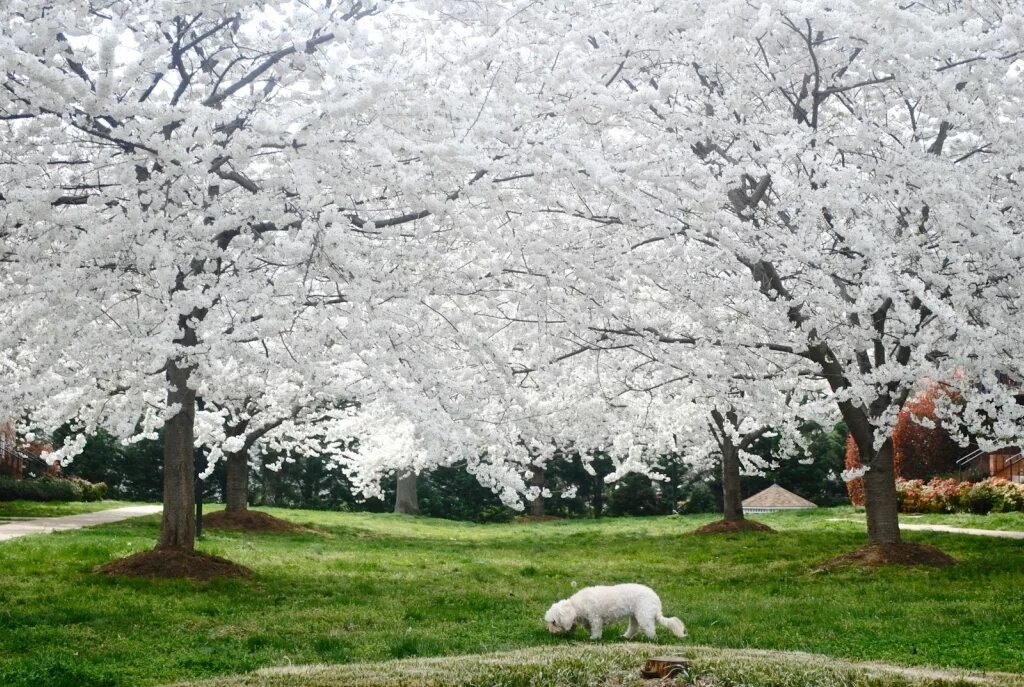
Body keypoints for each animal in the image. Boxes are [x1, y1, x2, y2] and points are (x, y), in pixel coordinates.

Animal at [544, 581, 688, 642]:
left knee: (649, 628)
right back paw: (626, 637)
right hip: (634, 616)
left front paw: (594, 638)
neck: (577, 605)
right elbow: (588, 627)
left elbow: (596, 629)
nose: (550, 632)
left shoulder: (595, 618)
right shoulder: (587, 620)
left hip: (644, 615)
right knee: (634, 628)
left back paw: (652, 639)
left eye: (554, 622)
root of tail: (656, 601)